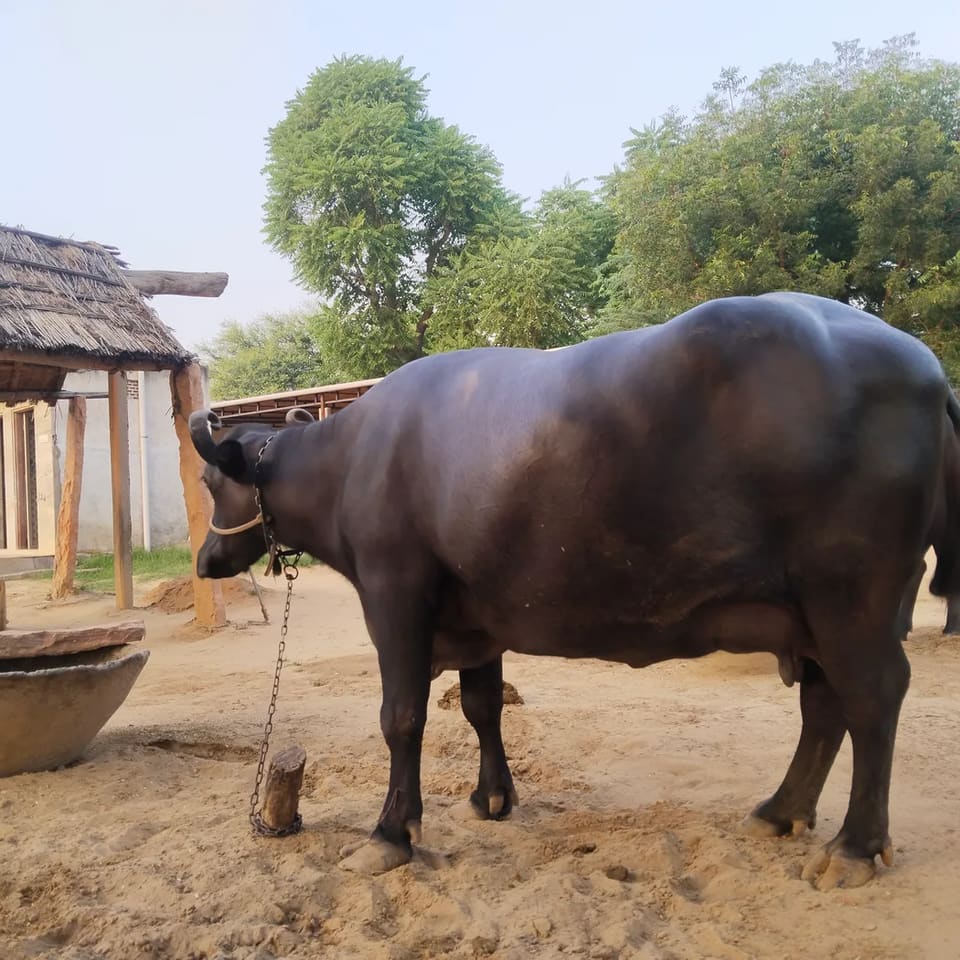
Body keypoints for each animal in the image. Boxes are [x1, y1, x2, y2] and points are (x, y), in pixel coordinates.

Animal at [191, 292, 960, 890]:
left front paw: (390, 833)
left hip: (851, 597)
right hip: (813, 611)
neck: (353, 461)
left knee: (873, 698)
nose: (205, 559)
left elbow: (401, 717)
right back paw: (780, 811)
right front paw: (492, 797)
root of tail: (924, 365)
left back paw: (854, 846)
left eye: (208, 481)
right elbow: (482, 707)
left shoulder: (394, 594)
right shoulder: (476, 619)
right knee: (824, 705)